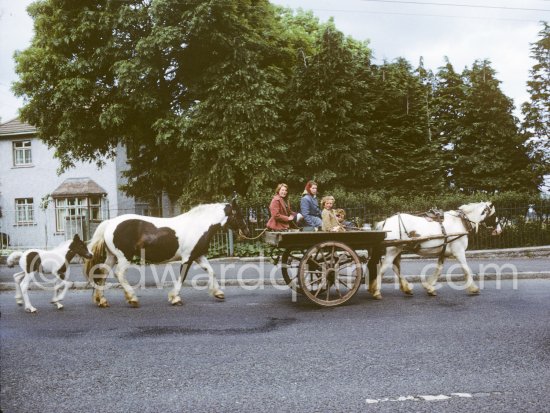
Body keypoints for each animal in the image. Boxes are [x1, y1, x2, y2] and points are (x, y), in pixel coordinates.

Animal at [84, 198, 250, 308]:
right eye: (239, 214)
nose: (246, 230)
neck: (199, 225)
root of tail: (109, 223)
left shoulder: (198, 256)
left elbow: (211, 271)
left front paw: (218, 293)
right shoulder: (187, 258)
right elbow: (182, 277)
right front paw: (175, 298)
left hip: (112, 256)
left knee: (103, 273)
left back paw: (102, 300)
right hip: (124, 257)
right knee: (119, 273)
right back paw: (132, 299)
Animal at [374, 201, 502, 298]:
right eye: (494, 214)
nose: (499, 230)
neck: (461, 221)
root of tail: (385, 222)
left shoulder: (443, 252)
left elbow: (439, 269)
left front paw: (429, 287)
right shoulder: (459, 252)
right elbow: (466, 269)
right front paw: (474, 288)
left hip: (398, 249)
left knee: (396, 267)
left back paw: (406, 289)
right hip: (393, 250)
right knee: (384, 268)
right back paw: (376, 291)